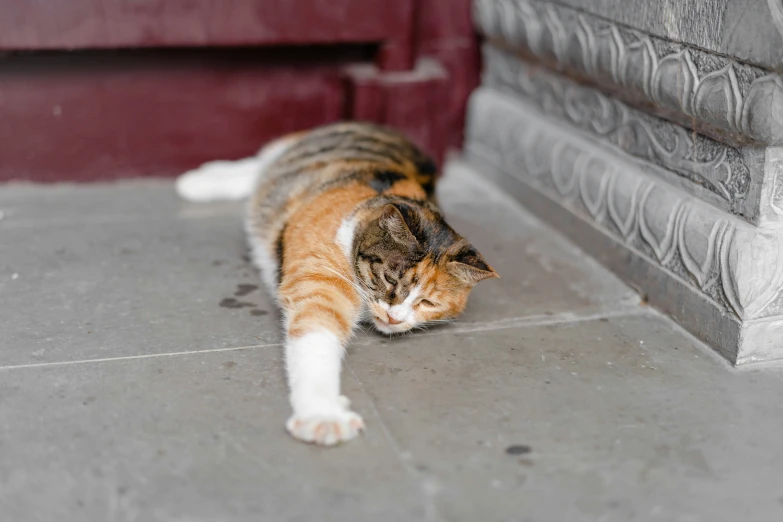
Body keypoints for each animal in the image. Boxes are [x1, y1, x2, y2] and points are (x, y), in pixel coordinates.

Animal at [175, 122, 500, 442]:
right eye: (389, 279)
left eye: (428, 302)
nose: (394, 318)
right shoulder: (321, 279)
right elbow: (317, 338)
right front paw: (324, 415)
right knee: (259, 164)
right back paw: (199, 181)